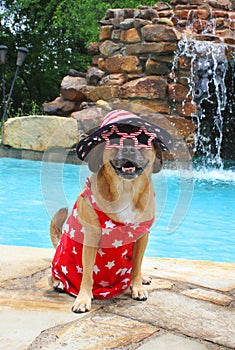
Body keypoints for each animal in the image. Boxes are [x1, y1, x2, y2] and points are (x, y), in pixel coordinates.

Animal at [50, 109, 171, 312]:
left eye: (142, 139)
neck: (126, 190)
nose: (128, 147)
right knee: (54, 273)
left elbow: (136, 267)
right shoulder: (91, 237)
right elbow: (87, 274)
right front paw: (83, 298)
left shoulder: (142, 237)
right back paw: (59, 282)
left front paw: (137, 286)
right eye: (115, 139)